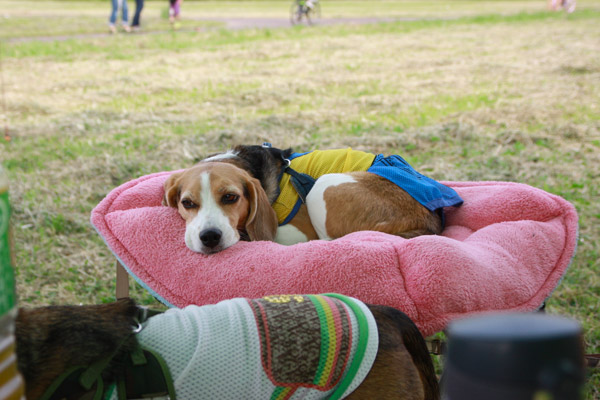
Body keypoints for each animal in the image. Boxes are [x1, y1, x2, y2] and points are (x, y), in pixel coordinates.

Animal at [162, 145, 462, 255]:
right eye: (187, 203)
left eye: (230, 197)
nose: (209, 237)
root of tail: (430, 220)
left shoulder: (297, 232)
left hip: (323, 186)